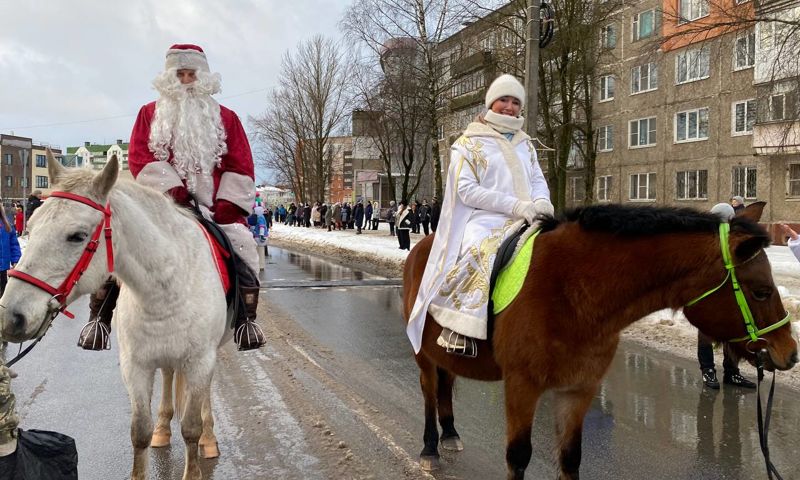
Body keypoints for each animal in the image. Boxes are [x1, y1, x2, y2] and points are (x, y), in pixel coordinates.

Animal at [0, 153, 231, 480]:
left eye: (77, 236)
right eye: (30, 226)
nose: (11, 316)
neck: (168, 288)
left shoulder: (200, 362)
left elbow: (190, 428)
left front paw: (198, 450)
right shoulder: (135, 367)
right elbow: (140, 432)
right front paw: (153, 434)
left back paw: (209, 439)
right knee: (169, 376)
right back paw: (163, 428)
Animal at [404, 203, 796, 480]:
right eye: (761, 291)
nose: (789, 352)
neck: (572, 291)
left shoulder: (579, 389)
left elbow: (570, 458)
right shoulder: (521, 386)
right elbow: (518, 457)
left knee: (446, 385)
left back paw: (450, 433)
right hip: (424, 356)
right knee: (428, 392)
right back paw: (430, 448)